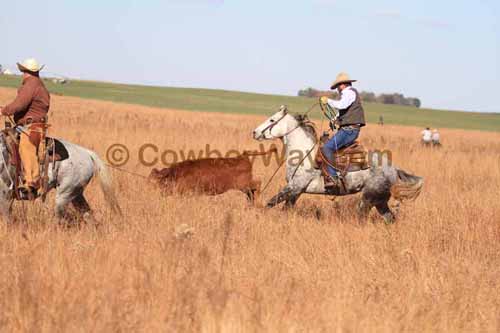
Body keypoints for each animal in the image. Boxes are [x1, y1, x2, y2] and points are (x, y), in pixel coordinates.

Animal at [148, 147, 278, 204]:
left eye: (161, 182)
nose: (161, 194)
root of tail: (242, 156)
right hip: (244, 187)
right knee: (252, 191)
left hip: (244, 184)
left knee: (258, 184)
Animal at [252, 105, 424, 222]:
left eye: (272, 119)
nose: (254, 132)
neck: (304, 154)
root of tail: (394, 169)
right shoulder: (296, 191)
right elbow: (282, 207)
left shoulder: (294, 187)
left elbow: (271, 203)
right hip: (380, 201)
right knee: (390, 219)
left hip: (369, 198)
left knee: (362, 217)